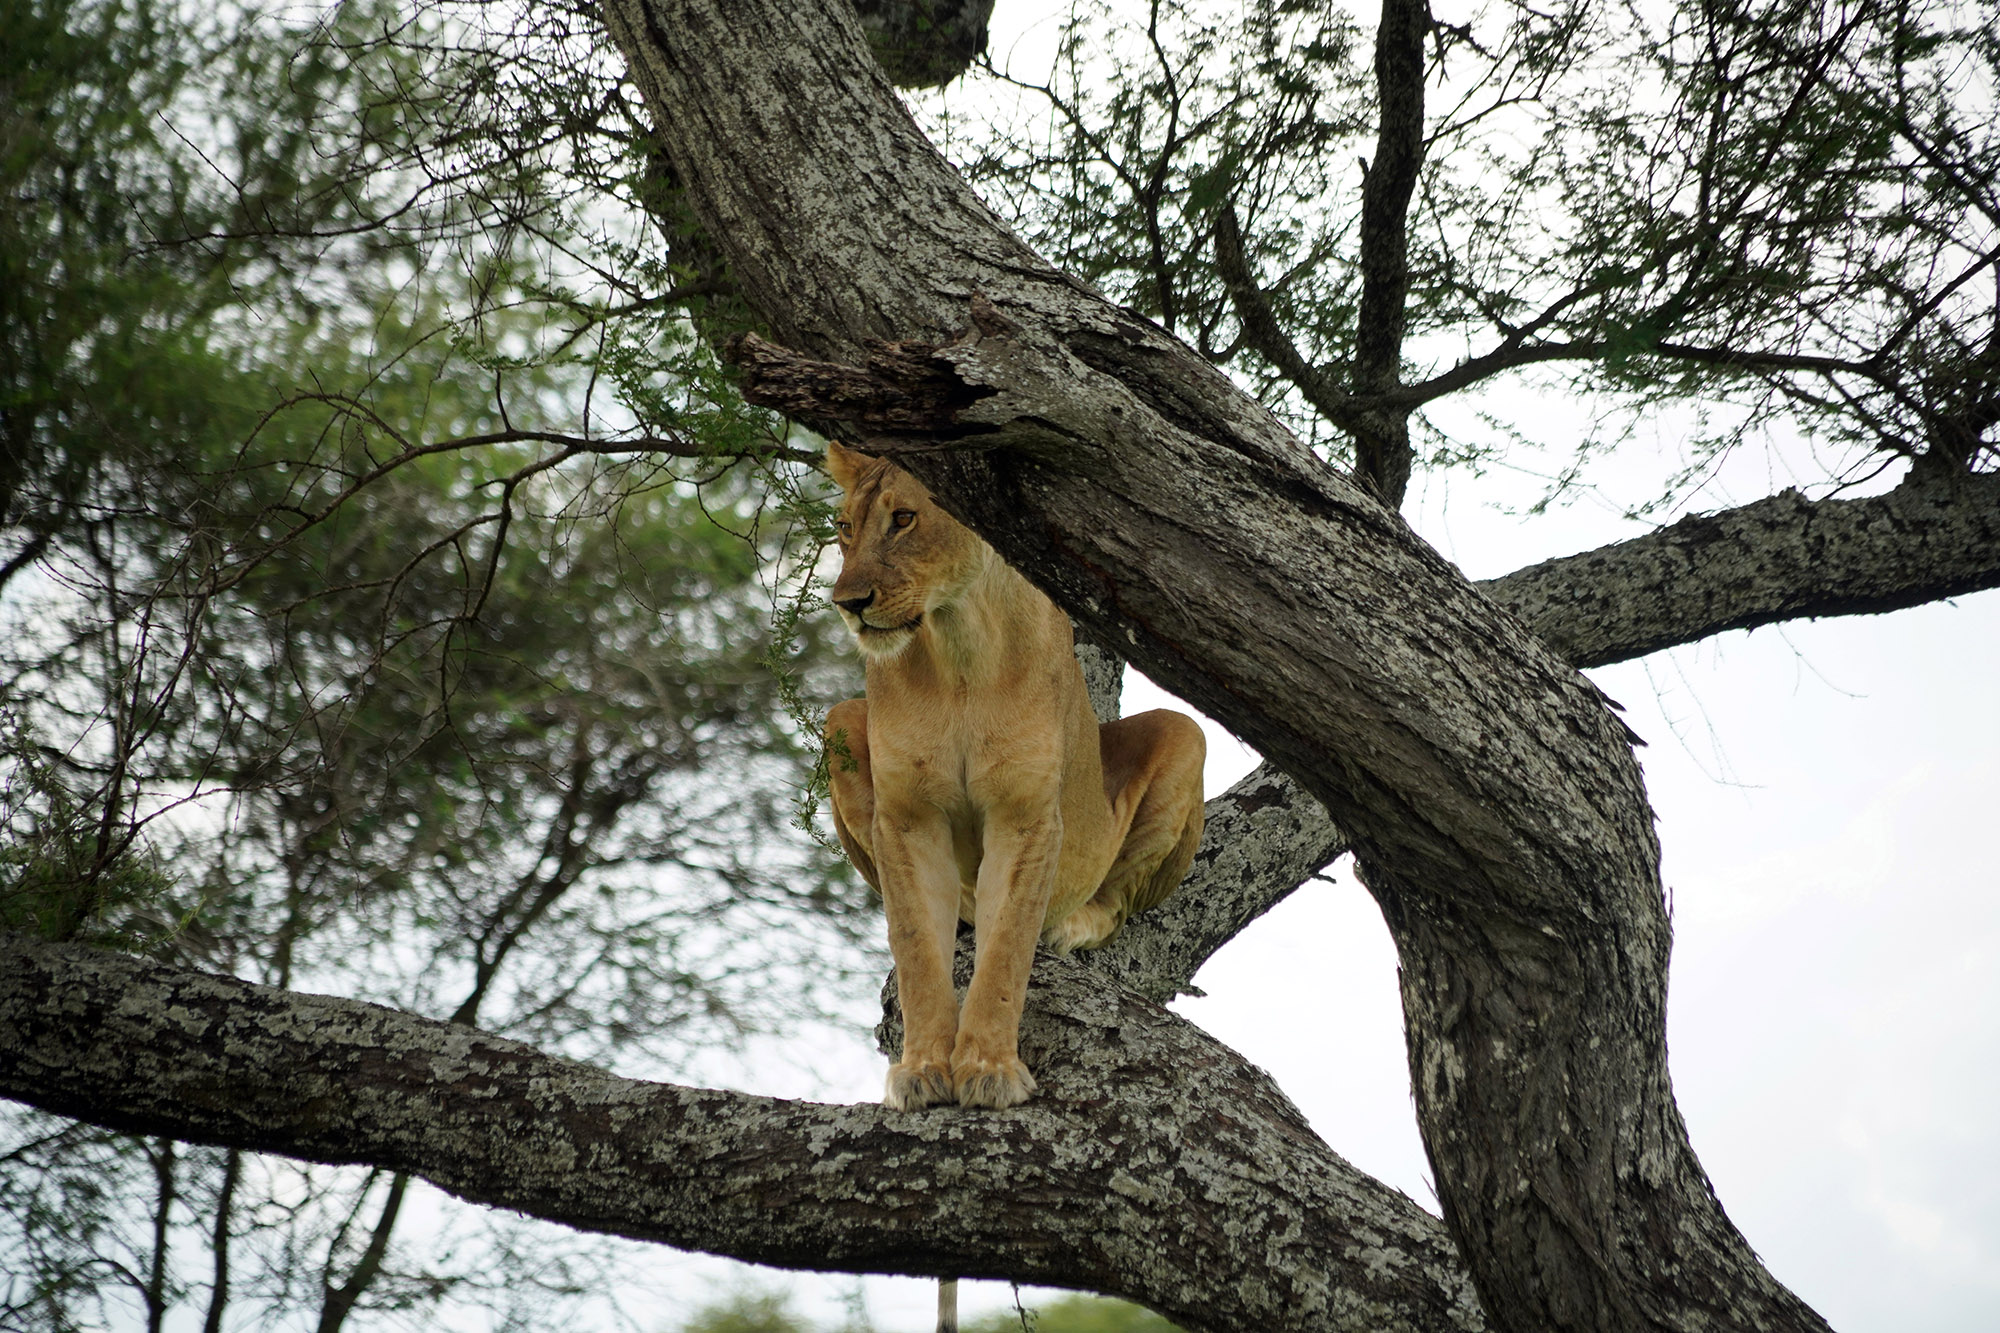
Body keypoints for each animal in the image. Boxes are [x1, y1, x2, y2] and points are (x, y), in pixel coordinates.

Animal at [821, 441, 1206, 1110]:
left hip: (1185, 733)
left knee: (1115, 904)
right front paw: (922, 1069)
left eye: (903, 519)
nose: (850, 604)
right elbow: (916, 947)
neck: (957, 651)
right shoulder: (907, 817)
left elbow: (1006, 951)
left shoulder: (1024, 816)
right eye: (845, 529)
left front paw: (989, 1070)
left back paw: (1072, 924)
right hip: (840, 720)